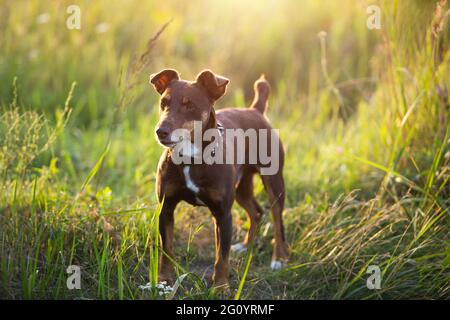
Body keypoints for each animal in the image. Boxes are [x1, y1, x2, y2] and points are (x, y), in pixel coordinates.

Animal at [149, 68, 286, 288]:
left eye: (190, 105)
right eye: (164, 103)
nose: (161, 131)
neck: (191, 158)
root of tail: (255, 110)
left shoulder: (223, 214)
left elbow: (222, 255)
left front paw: (221, 286)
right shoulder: (166, 208)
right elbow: (166, 249)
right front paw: (163, 280)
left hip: (274, 183)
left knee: (277, 220)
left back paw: (279, 259)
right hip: (241, 187)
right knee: (256, 212)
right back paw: (246, 245)